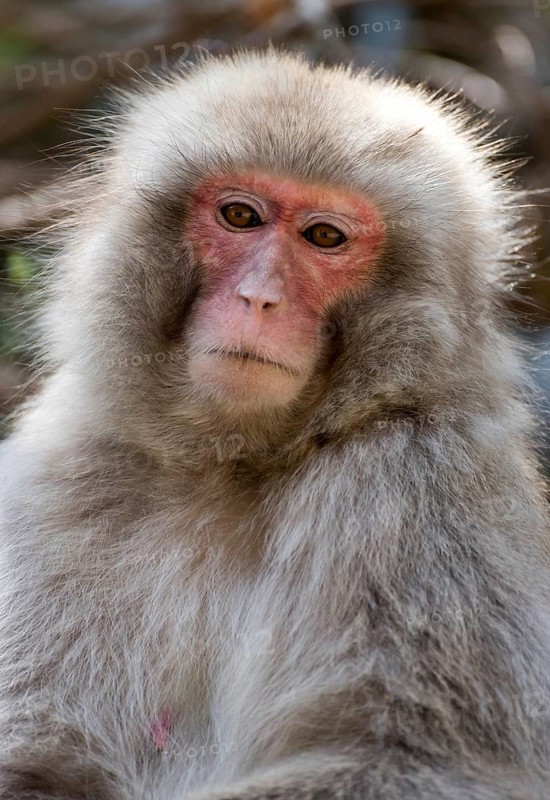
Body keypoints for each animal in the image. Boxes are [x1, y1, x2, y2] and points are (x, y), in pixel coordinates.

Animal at [0, 47, 549, 800]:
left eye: (324, 236)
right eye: (240, 215)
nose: (259, 298)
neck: (232, 461)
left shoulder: (424, 479)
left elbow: (418, 760)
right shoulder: (66, 468)